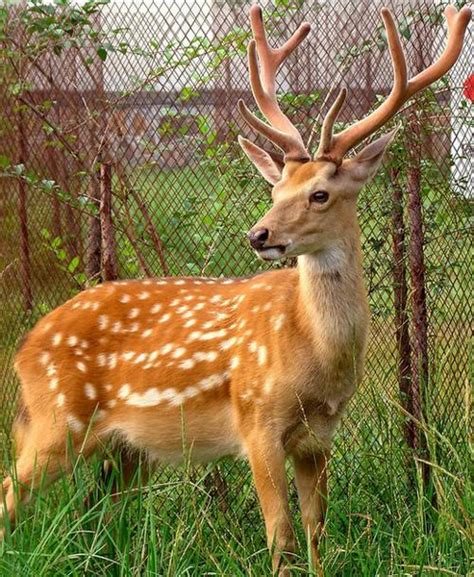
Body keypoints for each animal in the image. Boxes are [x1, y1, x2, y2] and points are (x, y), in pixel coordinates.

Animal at [0, 2, 470, 572]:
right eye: (275, 189)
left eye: (319, 194)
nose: (259, 235)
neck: (314, 353)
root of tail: (25, 347)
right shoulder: (256, 418)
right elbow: (280, 534)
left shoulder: (319, 436)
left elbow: (316, 531)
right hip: (56, 420)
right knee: (10, 495)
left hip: (126, 448)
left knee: (97, 512)